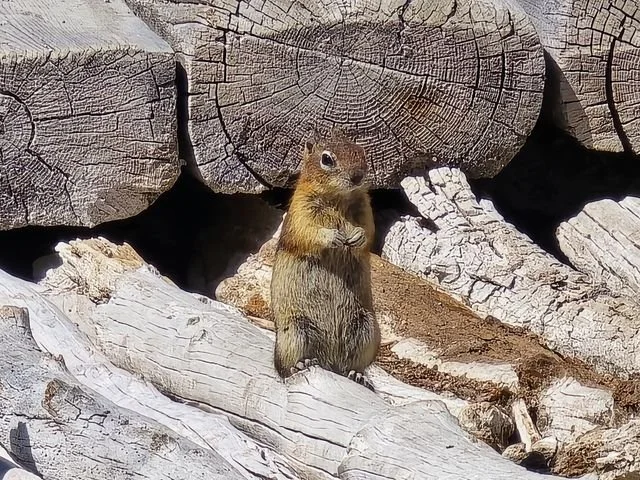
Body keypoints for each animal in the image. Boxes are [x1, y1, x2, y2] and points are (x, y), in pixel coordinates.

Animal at [270, 131, 380, 390]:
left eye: (362, 154)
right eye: (327, 159)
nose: (357, 176)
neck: (338, 199)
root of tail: (329, 361)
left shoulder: (365, 208)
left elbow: (369, 230)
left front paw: (357, 236)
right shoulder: (301, 209)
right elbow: (308, 231)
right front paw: (333, 236)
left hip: (366, 329)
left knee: (352, 364)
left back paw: (357, 375)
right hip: (294, 332)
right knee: (283, 367)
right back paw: (301, 364)